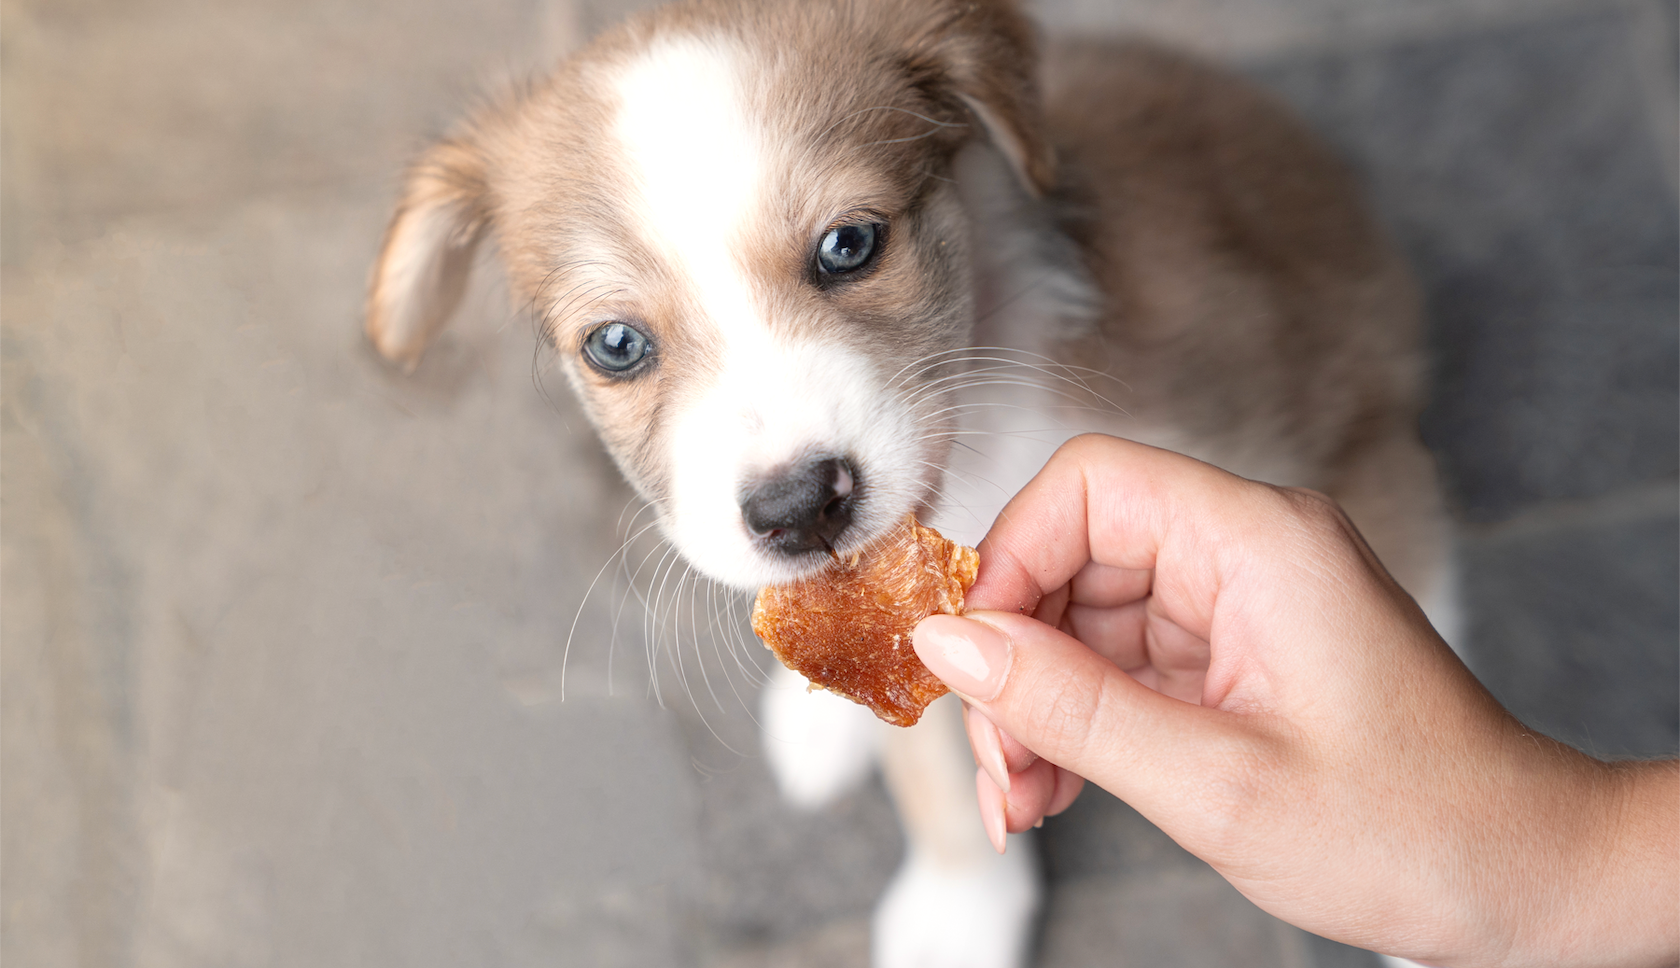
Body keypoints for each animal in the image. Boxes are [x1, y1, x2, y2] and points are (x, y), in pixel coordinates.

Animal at [367, 3, 1458, 961]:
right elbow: (933, 775)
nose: (798, 508)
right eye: (616, 345)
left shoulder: (1348, 468)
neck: (979, 437)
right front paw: (961, 908)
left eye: (849, 244)